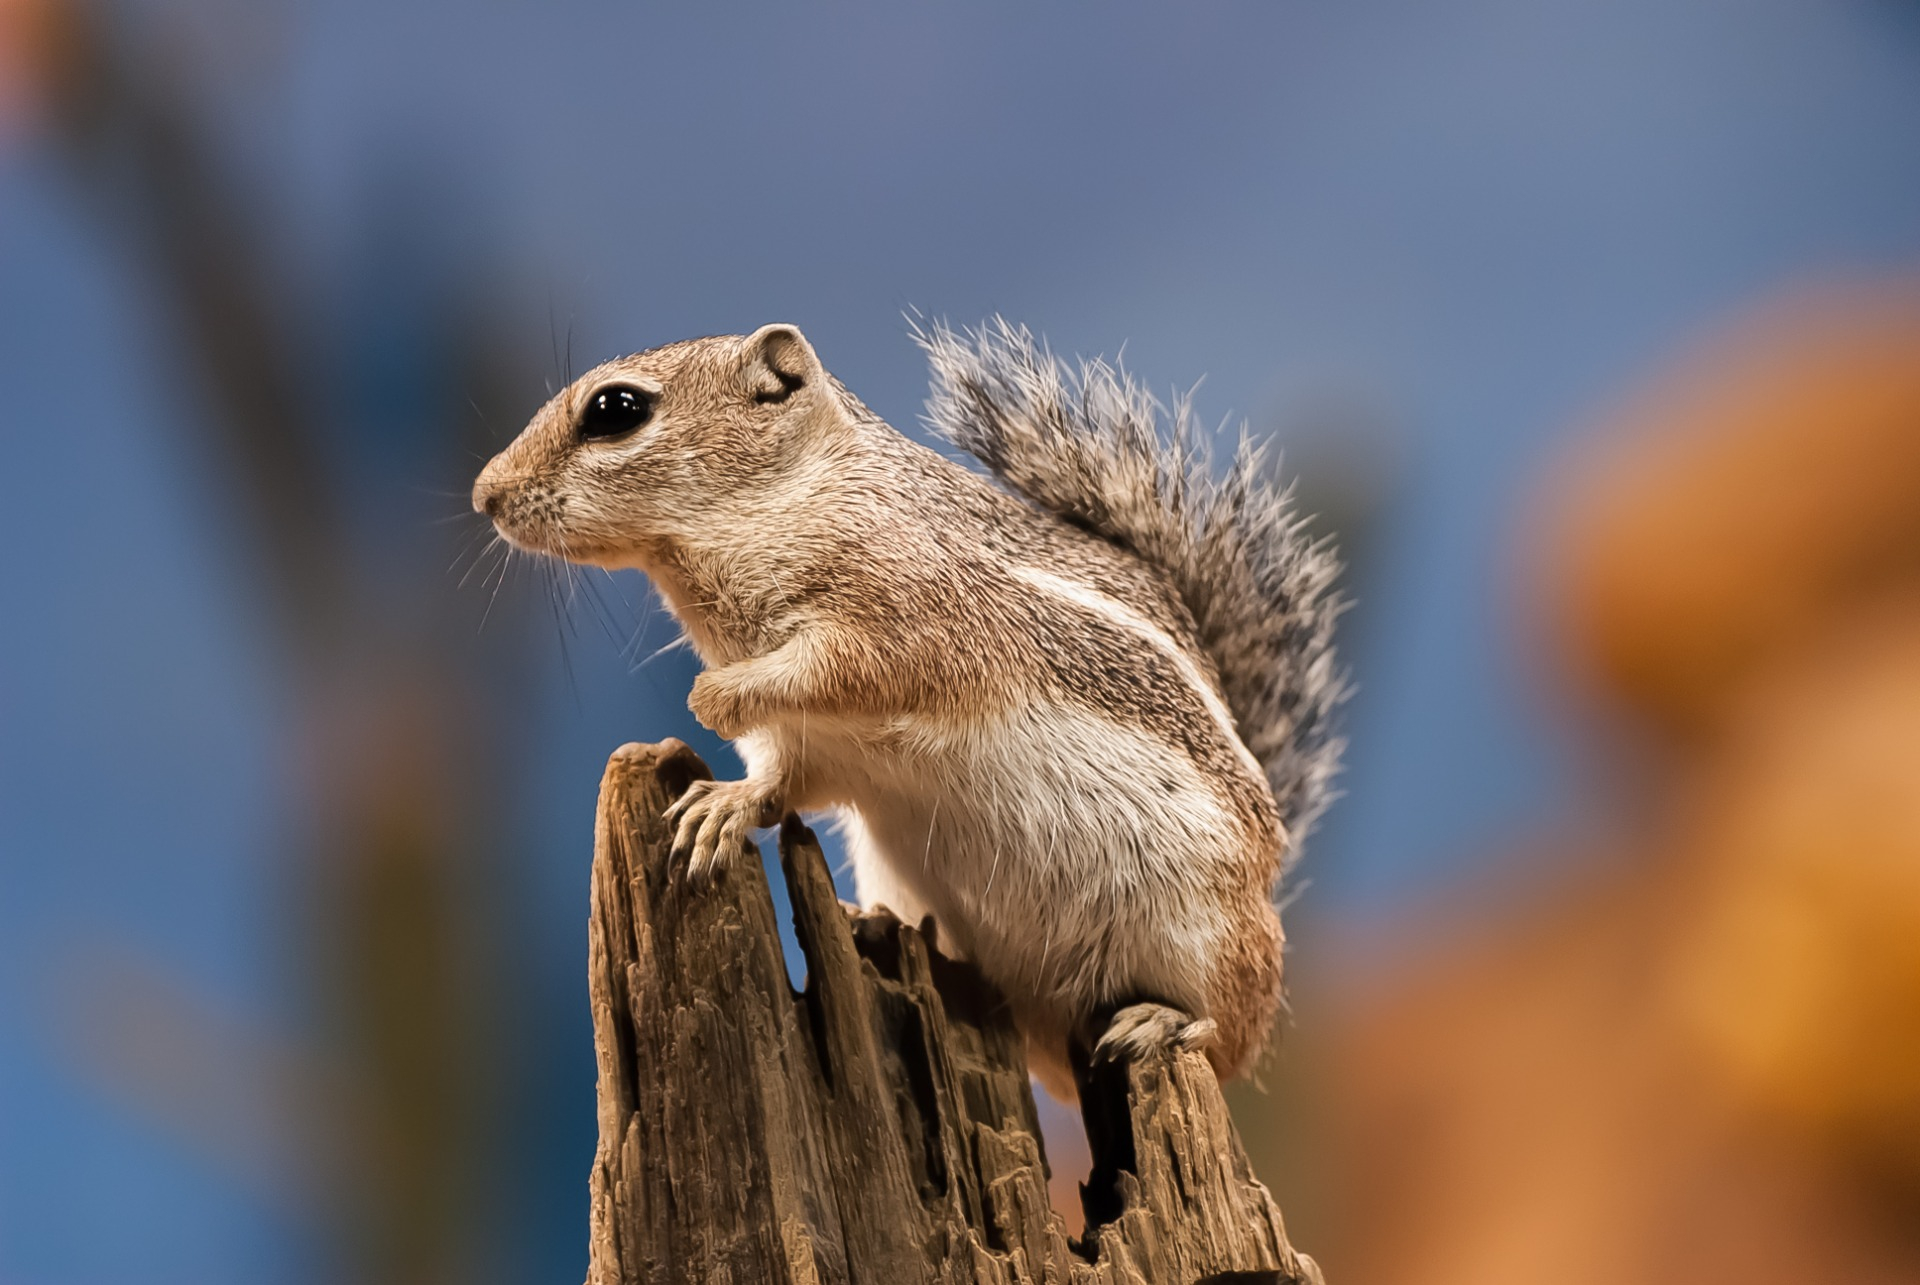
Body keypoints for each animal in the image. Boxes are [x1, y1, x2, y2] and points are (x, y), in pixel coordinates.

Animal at [466, 313, 1344, 1091]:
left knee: (1227, 1037)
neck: (784, 500)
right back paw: (879, 925)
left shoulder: (908, 619)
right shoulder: (802, 739)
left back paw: (1163, 1020)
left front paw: (712, 697)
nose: (484, 495)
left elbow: (842, 669)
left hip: (1209, 936)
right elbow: (778, 780)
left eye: (616, 409)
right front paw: (722, 804)